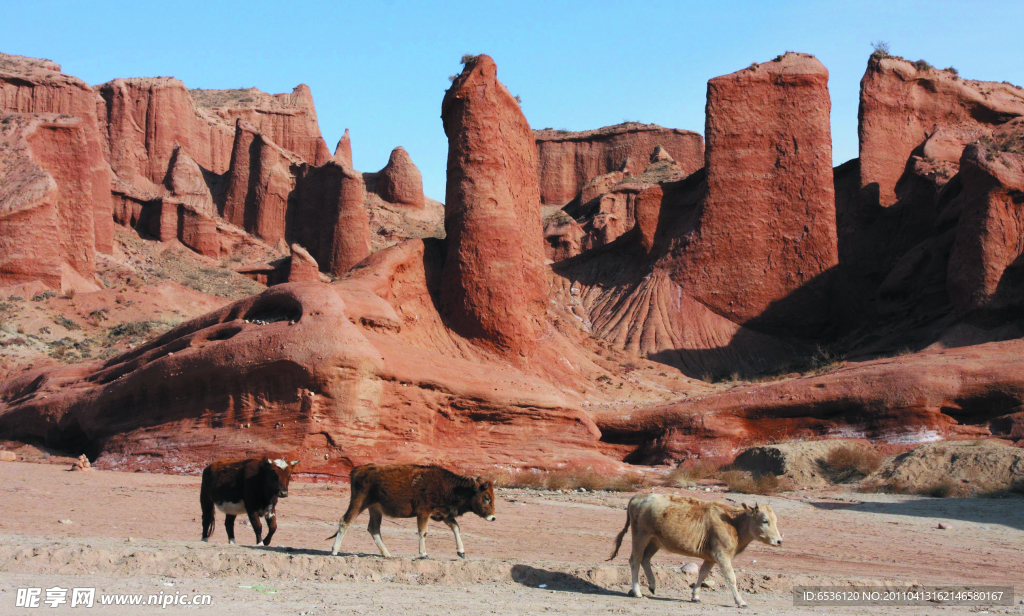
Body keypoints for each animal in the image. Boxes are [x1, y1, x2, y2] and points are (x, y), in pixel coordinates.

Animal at [327, 462, 495, 560]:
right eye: (486, 497)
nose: (493, 517)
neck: (451, 487)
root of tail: (358, 469)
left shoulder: (443, 514)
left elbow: (456, 528)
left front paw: (461, 552)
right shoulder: (424, 512)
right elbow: (423, 532)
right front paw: (424, 554)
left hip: (375, 508)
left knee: (373, 528)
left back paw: (387, 554)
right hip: (359, 502)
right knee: (345, 521)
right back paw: (334, 551)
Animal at [610, 489, 778, 605]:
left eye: (775, 520)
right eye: (764, 520)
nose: (779, 541)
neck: (733, 522)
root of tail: (638, 497)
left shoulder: (711, 558)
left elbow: (702, 574)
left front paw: (695, 596)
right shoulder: (722, 555)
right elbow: (731, 578)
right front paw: (740, 601)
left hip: (655, 541)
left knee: (645, 559)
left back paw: (652, 585)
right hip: (640, 536)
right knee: (635, 561)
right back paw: (637, 591)